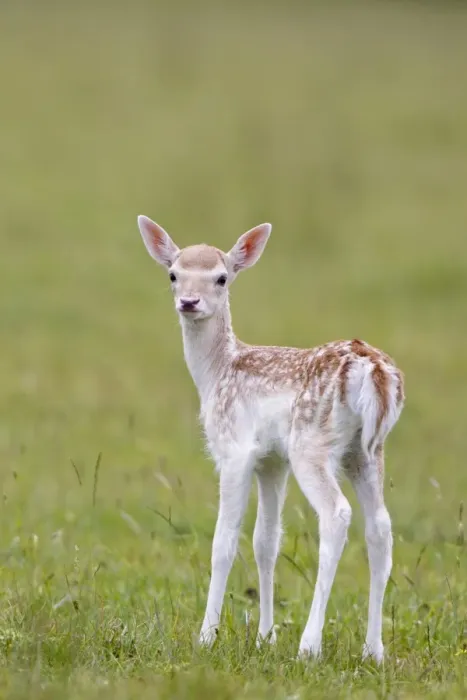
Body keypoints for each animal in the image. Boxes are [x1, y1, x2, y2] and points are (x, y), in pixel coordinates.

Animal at [137, 215, 404, 662]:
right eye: (173, 273)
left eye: (222, 277)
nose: (189, 302)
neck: (215, 374)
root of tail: (374, 372)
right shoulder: (271, 461)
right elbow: (266, 541)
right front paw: (265, 636)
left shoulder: (234, 450)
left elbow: (224, 541)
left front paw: (206, 636)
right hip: (365, 451)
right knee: (380, 525)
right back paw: (374, 650)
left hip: (311, 444)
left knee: (337, 514)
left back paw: (310, 646)